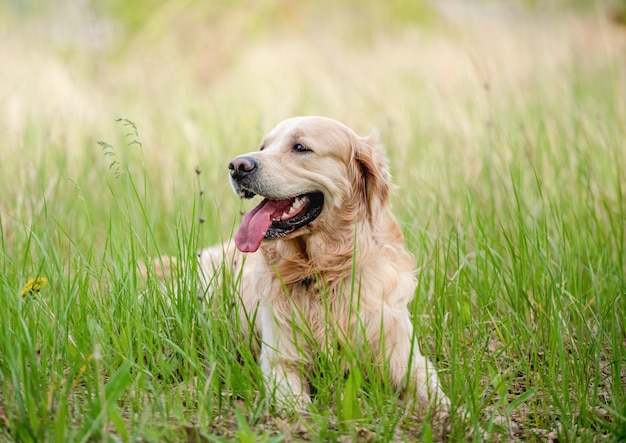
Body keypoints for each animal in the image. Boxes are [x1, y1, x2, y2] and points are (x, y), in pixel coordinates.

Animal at [197, 116, 446, 414]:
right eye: (263, 146)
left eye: (300, 147)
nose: (237, 166)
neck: (322, 272)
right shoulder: (281, 362)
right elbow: (296, 407)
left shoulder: (406, 357)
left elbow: (435, 394)